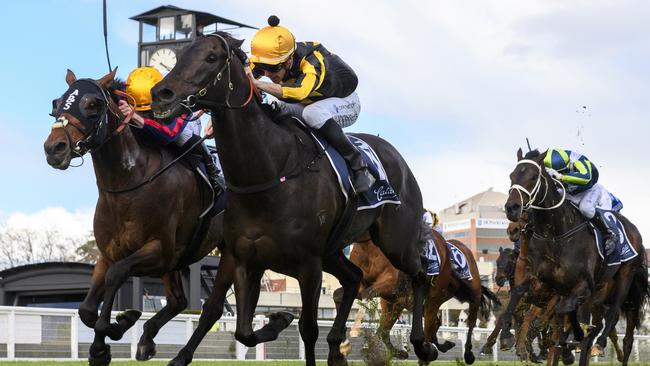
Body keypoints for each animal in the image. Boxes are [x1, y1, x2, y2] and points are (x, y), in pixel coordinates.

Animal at [43, 70, 224, 364]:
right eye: (57, 103)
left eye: (93, 104)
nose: (54, 148)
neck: (129, 181)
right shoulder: (108, 253)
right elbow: (87, 309)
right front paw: (107, 339)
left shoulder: (159, 252)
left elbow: (116, 275)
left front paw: (113, 331)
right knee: (178, 301)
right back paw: (147, 339)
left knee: (212, 309)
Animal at [334, 230, 496, 364]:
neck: (370, 247)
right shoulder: (365, 285)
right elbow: (338, 295)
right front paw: (343, 341)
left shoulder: (391, 284)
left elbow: (366, 296)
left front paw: (352, 334)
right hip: (404, 302)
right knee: (421, 325)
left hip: (463, 294)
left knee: (469, 321)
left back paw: (466, 353)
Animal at [502, 149, 644, 366]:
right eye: (512, 175)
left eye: (533, 177)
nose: (512, 208)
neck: (556, 235)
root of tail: (634, 229)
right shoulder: (542, 281)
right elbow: (517, 295)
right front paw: (507, 337)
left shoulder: (581, 286)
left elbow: (562, 313)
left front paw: (569, 342)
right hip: (598, 291)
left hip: (625, 278)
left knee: (614, 319)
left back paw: (598, 344)